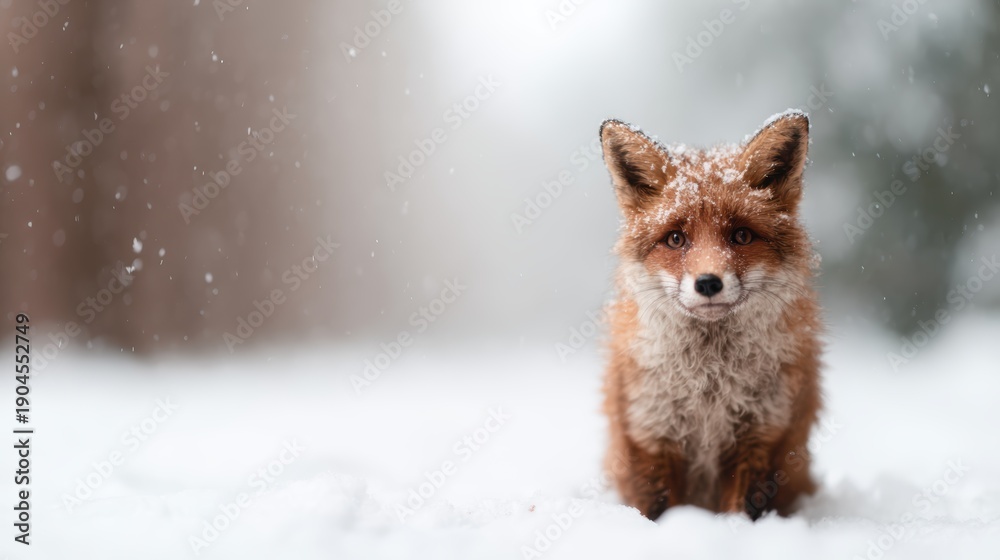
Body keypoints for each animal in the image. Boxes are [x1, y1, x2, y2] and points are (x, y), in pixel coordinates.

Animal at [598, 111, 822, 521]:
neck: (709, 385)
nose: (707, 283)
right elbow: (656, 508)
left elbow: (740, 511)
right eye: (675, 239)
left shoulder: (760, 437)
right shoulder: (650, 436)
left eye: (742, 236)